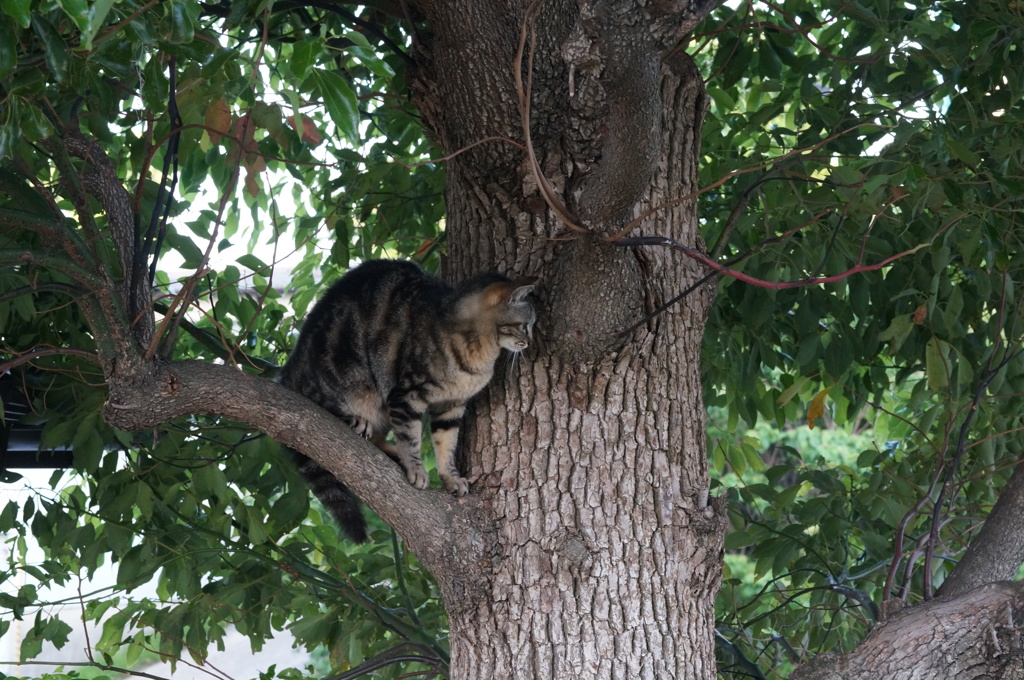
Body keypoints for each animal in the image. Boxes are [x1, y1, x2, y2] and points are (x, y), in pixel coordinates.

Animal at [278, 259, 536, 540]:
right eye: (525, 324)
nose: (530, 341)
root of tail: (289, 370)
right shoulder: (406, 395)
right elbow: (410, 436)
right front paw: (416, 468)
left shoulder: (451, 406)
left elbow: (447, 444)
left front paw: (450, 477)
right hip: (348, 379)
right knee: (319, 406)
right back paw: (356, 422)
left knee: (376, 440)